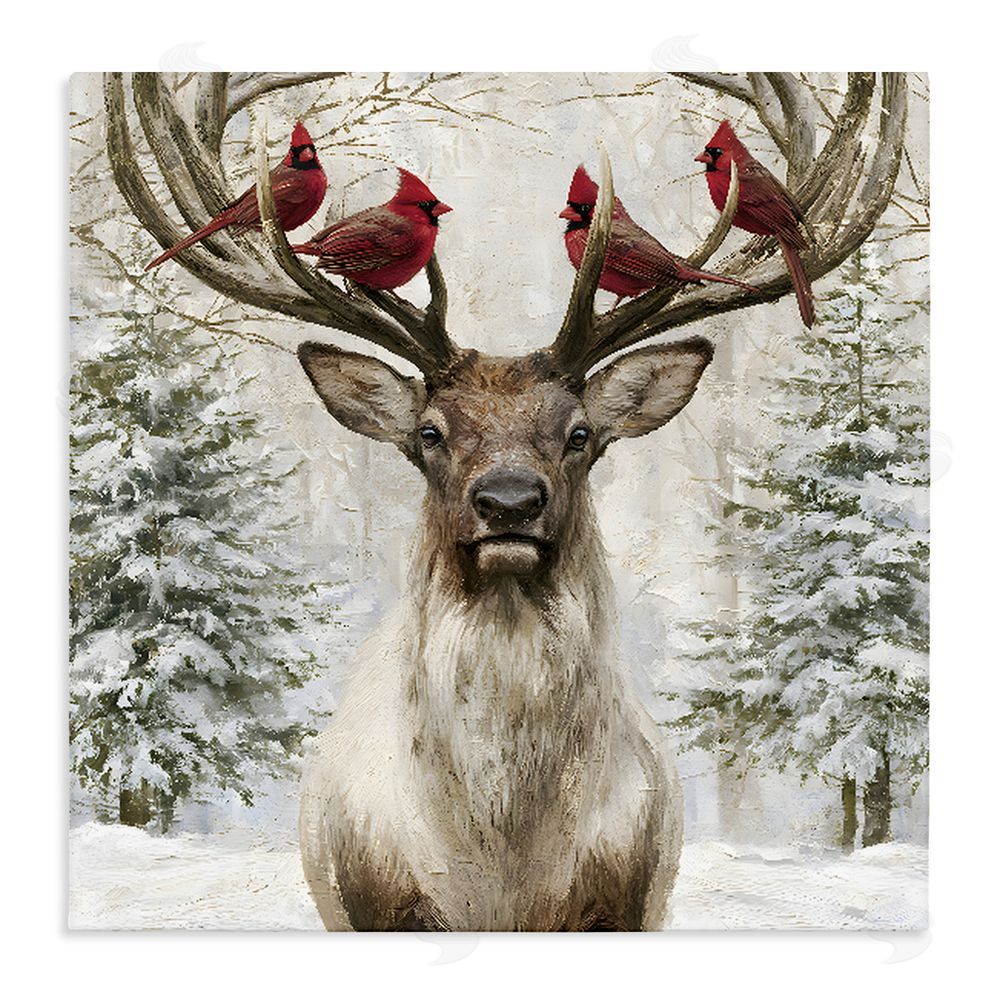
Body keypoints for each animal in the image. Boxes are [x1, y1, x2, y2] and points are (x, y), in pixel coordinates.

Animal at [102, 71, 909, 930]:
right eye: (428, 432)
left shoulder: (624, 905)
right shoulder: (376, 904)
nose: (510, 501)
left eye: (581, 433)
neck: (501, 867)